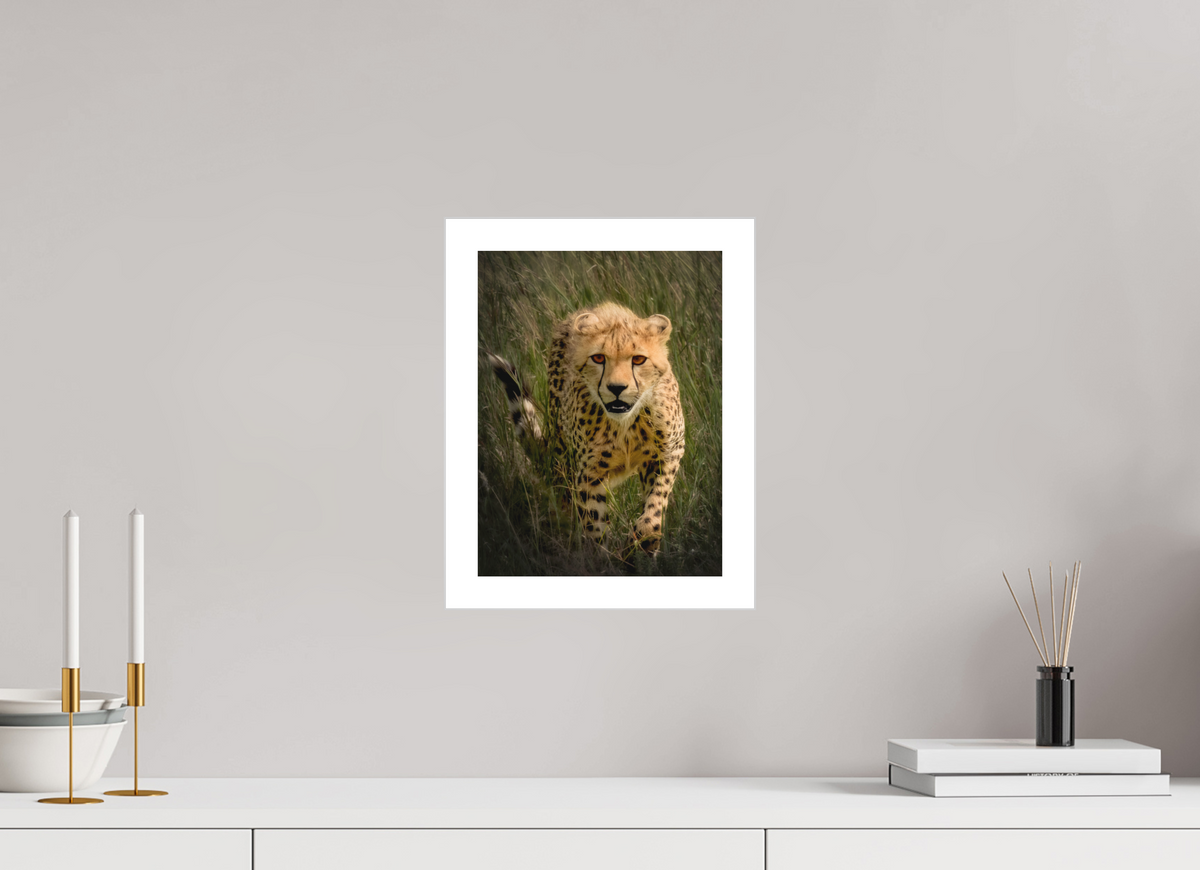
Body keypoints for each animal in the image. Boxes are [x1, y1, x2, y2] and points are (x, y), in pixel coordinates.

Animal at [489, 302, 685, 556]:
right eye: (598, 358)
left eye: (639, 359)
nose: (617, 388)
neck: (625, 424)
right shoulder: (589, 474)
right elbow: (594, 524)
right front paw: (601, 558)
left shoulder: (669, 452)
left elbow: (655, 503)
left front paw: (644, 540)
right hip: (563, 457)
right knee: (564, 499)